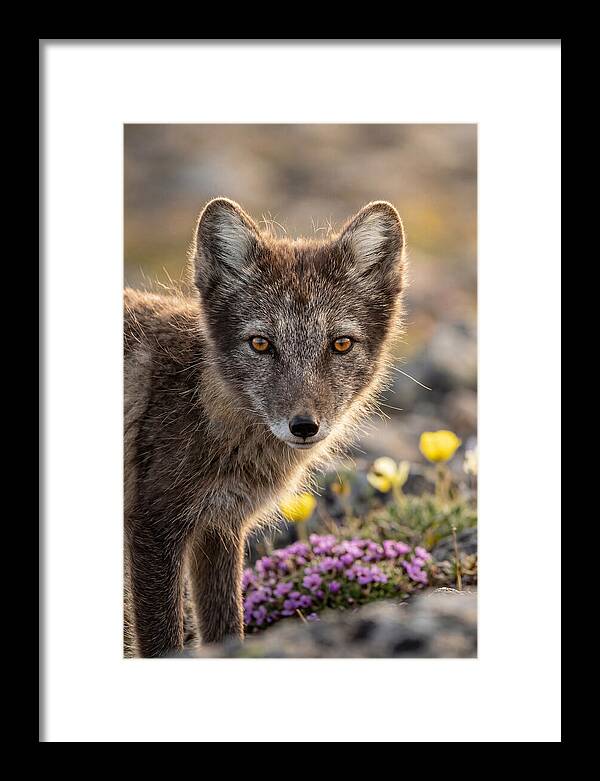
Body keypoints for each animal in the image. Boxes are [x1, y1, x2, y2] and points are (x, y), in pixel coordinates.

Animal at [124, 197, 407, 657]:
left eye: (341, 344)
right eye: (260, 343)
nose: (304, 426)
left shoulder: (219, 528)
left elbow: (226, 628)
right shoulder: (154, 525)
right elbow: (163, 642)